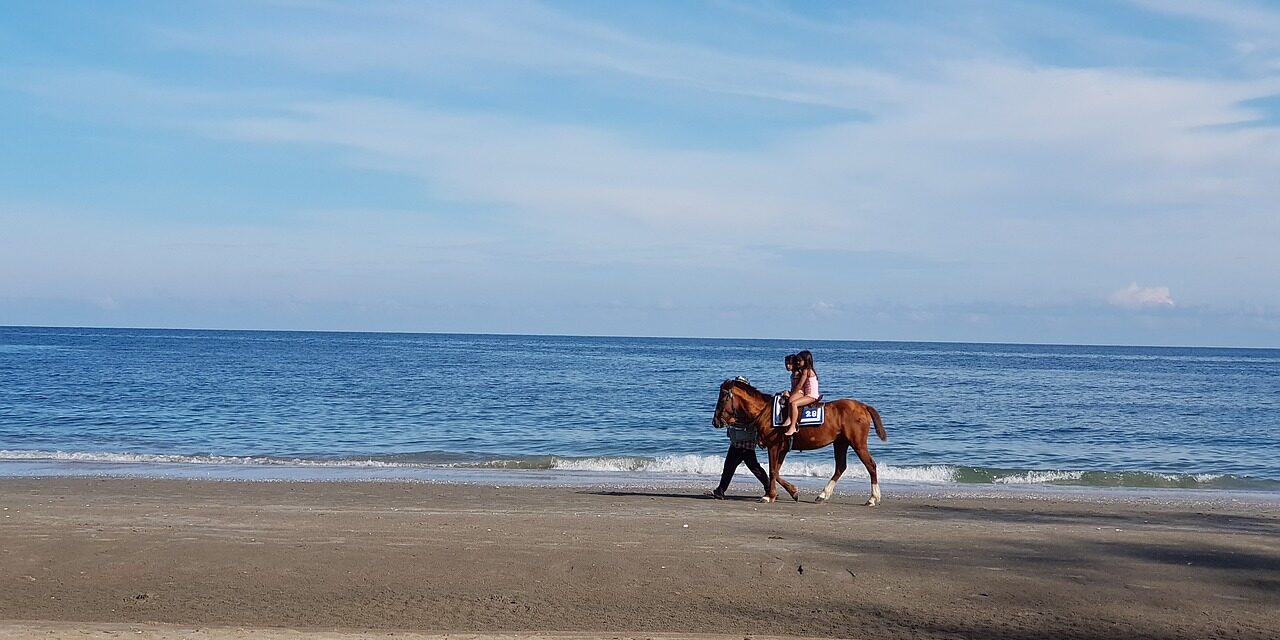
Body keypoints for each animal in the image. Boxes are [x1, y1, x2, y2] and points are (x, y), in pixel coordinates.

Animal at [716, 376, 885, 501]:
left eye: (723, 399)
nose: (715, 421)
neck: (766, 412)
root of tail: (863, 406)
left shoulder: (774, 447)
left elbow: (772, 470)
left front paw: (770, 495)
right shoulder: (782, 449)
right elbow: (776, 472)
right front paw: (790, 491)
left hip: (858, 443)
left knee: (871, 465)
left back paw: (873, 498)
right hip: (840, 443)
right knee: (840, 467)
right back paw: (823, 494)